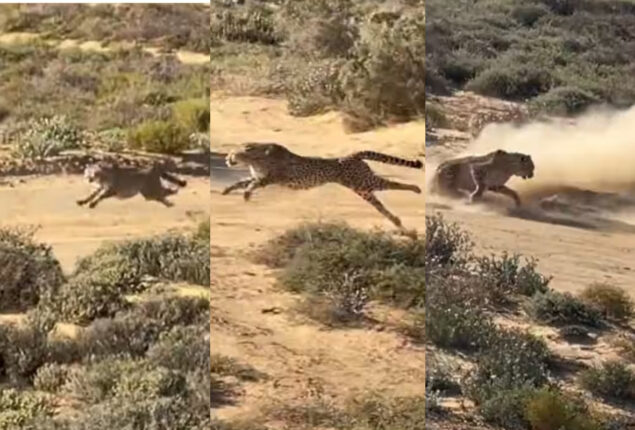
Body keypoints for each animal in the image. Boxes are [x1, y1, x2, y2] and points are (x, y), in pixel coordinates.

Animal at [221, 142, 424, 228]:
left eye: (231, 153)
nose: (226, 159)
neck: (254, 156)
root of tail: (351, 155)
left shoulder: (271, 178)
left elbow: (251, 184)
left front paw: (246, 195)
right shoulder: (260, 178)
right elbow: (241, 182)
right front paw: (227, 190)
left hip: (364, 182)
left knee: (393, 183)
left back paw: (416, 189)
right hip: (362, 189)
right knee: (382, 205)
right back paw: (400, 225)